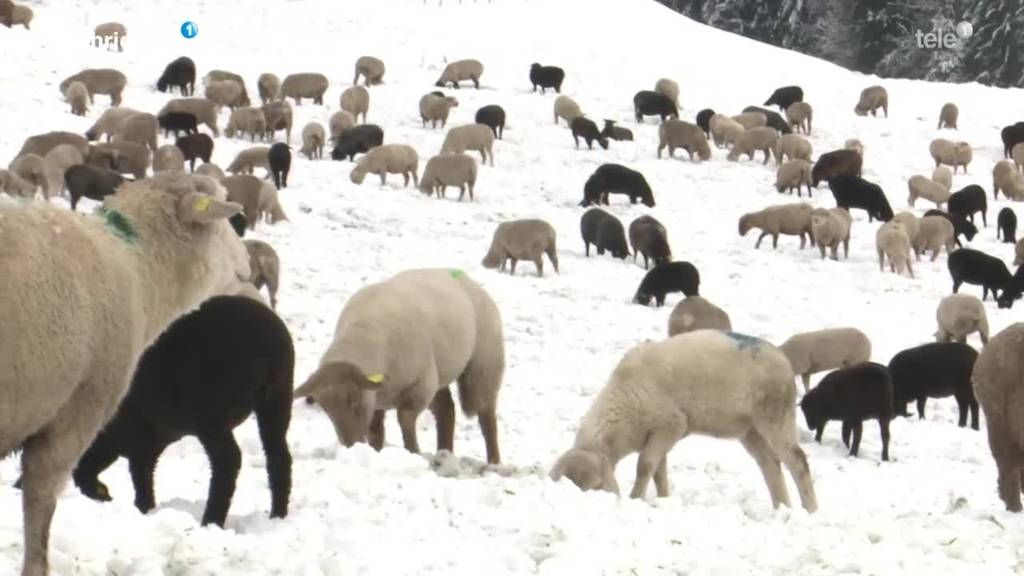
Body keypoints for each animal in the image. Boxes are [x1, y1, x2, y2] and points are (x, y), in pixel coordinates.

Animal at [70, 295, 294, 524]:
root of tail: (270, 345)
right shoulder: (146, 443)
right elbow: (141, 474)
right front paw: (145, 508)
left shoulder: (128, 436)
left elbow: (99, 470)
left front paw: (107, 495)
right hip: (277, 399)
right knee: (278, 455)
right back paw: (278, 515)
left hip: (213, 415)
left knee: (229, 460)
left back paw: (211, 520)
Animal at [294, 268, 505, 461]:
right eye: (326, 408)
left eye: (354, 400)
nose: (351, 445)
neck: (366, 333)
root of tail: (472, 283)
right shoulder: (377, 399)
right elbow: (376, 431)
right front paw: (377, 451)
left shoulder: (420, 386)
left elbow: (405, 420)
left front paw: (413, 451)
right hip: (440, 373)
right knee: (446, 410)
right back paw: (445, 453)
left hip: (483, 366)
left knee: (486, 415)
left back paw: (493, 461)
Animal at [552, 330, 815, 508]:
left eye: (596, 487)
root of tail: (784, 360)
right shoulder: (658, 434)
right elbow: (658, 471)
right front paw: (663, 498)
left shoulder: (673, 424)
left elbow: (644, 465)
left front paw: (635, 498)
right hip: (749, 429)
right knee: (770, 464)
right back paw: (782, 508)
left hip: (775, 414)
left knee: (797, 462)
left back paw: (809, 509)